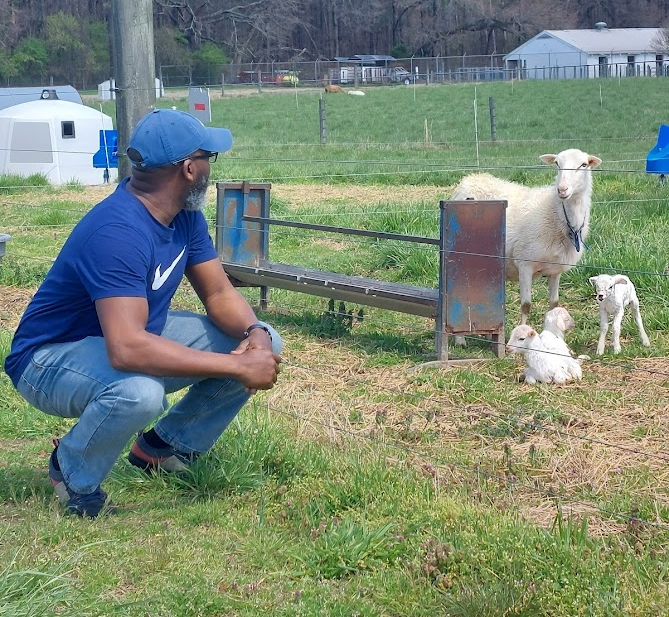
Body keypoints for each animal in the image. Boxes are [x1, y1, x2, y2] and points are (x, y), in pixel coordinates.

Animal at [452, 147, 604, 344]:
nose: (562, 189)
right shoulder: (525, 264)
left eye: (583, 164)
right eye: (557, 164)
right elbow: (526, 305)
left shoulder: (555, 271)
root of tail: (471, 177)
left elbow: (554, 304)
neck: (555, 215)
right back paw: (460, 340)